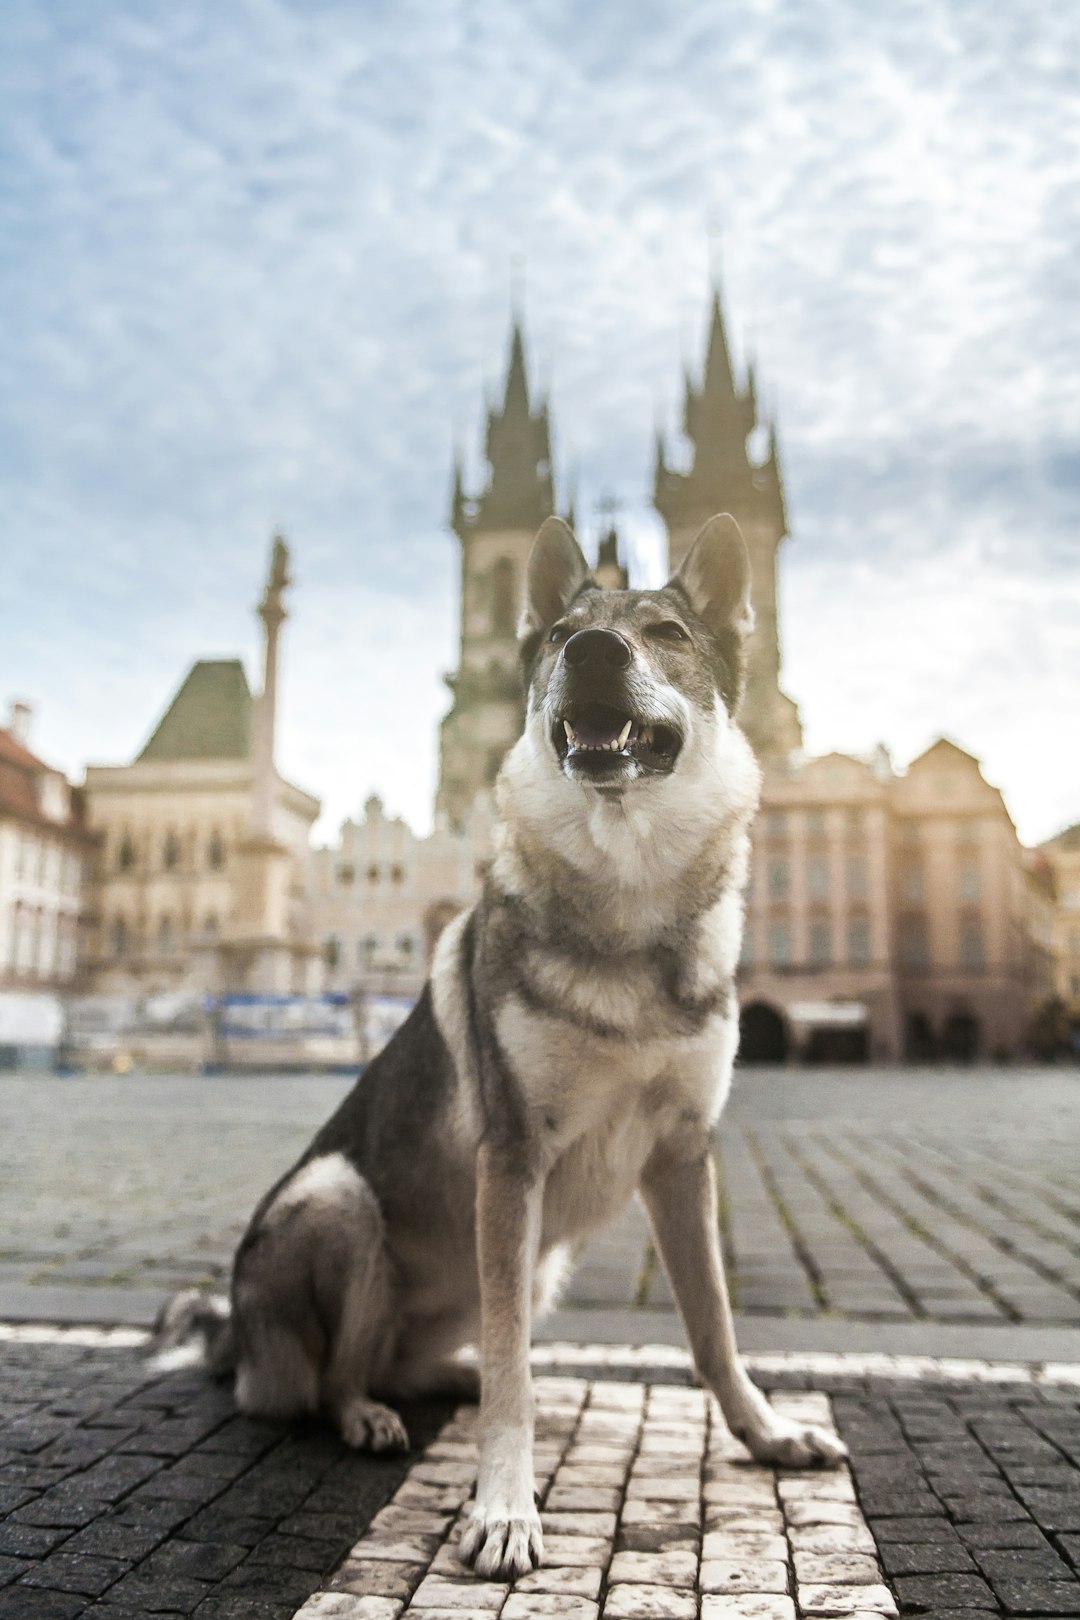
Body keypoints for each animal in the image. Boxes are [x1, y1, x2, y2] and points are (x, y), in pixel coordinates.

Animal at [153, 515, 841, 1581]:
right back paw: (369, 1414)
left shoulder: (683, 1158)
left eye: (665, 631)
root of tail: (237, 1338)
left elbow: (714, 1329)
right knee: (338, 1378)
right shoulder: (513, 1162)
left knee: (441, 1357)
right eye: (561, 635)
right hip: (342, 1201)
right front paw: (505, 1508)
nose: (594, 650)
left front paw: (764, 1434)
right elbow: (516, 1367)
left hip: (534, 1257)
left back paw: (453, 1380)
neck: (628, 905)